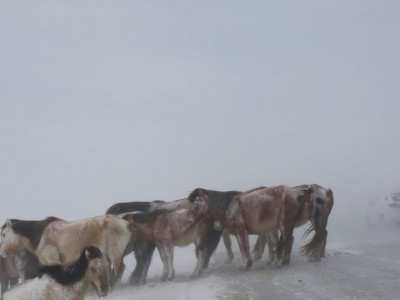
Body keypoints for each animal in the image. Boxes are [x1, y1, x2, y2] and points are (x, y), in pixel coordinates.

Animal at [0, 214, 131, 288]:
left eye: (3, 234)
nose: (2, 253)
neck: (41, 235)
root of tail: (125, 223)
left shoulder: (54, 262)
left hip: (115, 254)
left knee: (120, 270)